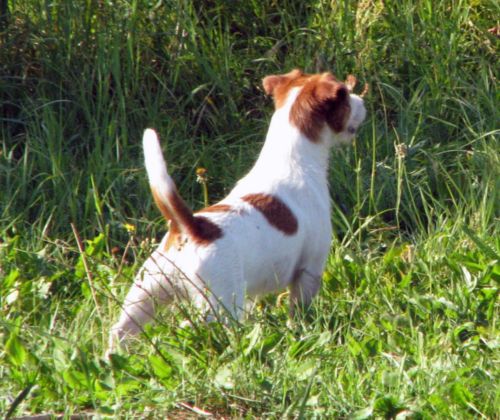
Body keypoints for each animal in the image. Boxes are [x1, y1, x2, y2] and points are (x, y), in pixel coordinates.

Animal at [110, 69, 368, 348]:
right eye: (345, 96)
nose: (362, 101)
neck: (292, 159)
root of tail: (190, 228)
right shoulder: (310, 269)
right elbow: (300, 310)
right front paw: (302, 331)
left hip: (146, 292)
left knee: (119, 331)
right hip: (219, 305)